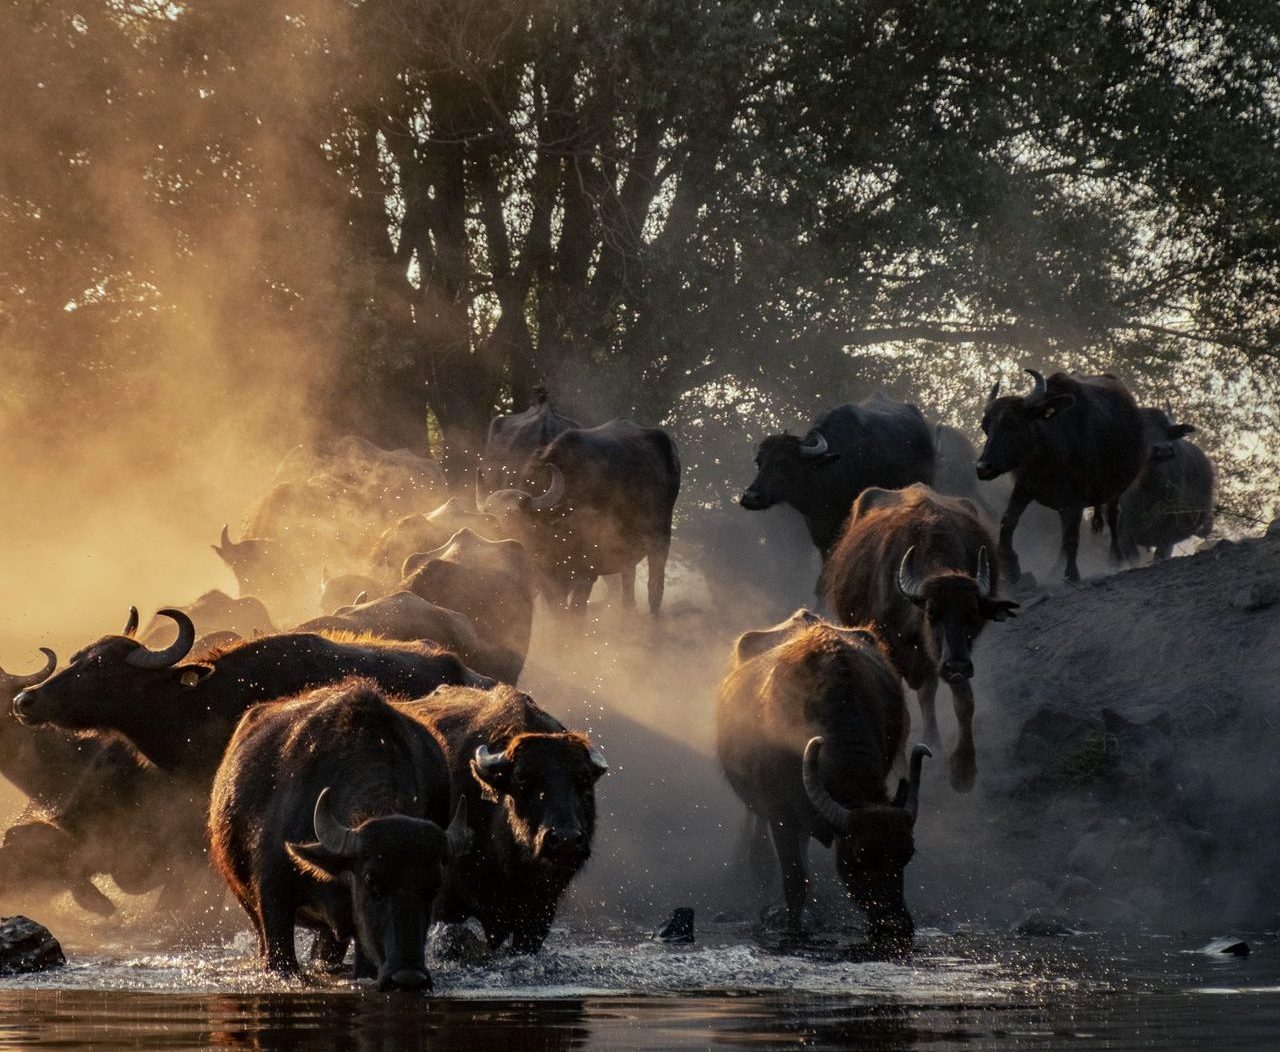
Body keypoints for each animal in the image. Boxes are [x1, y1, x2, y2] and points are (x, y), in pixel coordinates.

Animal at [484, 419, 681, 614]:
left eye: (514, 516)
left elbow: (576, 611)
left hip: (660, 536)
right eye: (487, 517)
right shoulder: (546, 576)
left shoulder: (587, 572)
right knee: (628, 586)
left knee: (655, 586)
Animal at [716, 611, 928, 948]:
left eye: (906, 855)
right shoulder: (782, 817)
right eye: (858, 858)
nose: (895, 926)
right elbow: (795, 882)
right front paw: (793, 931)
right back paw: (758, 862)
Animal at [822, 484, 1018, 792]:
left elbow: (964, 701)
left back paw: (934, 741)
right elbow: (900, 713)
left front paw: (963, 770)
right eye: (931, 613)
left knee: (928, 693)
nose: (957, 665)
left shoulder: (948, 657)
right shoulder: (893, 649)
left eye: (972, 614)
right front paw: (900, 771)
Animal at [975, 369, 1148, 583]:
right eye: (986, 428)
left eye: (1011, 423)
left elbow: (1072, 537)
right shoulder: (1024, 487)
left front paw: (1072, 574)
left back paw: (1115, 559)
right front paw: (1010, 566)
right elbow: (1008, 521)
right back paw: (1055, 569)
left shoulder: (1076, 497)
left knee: (1112, 517)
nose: (983, 467)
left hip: (1116, 489)